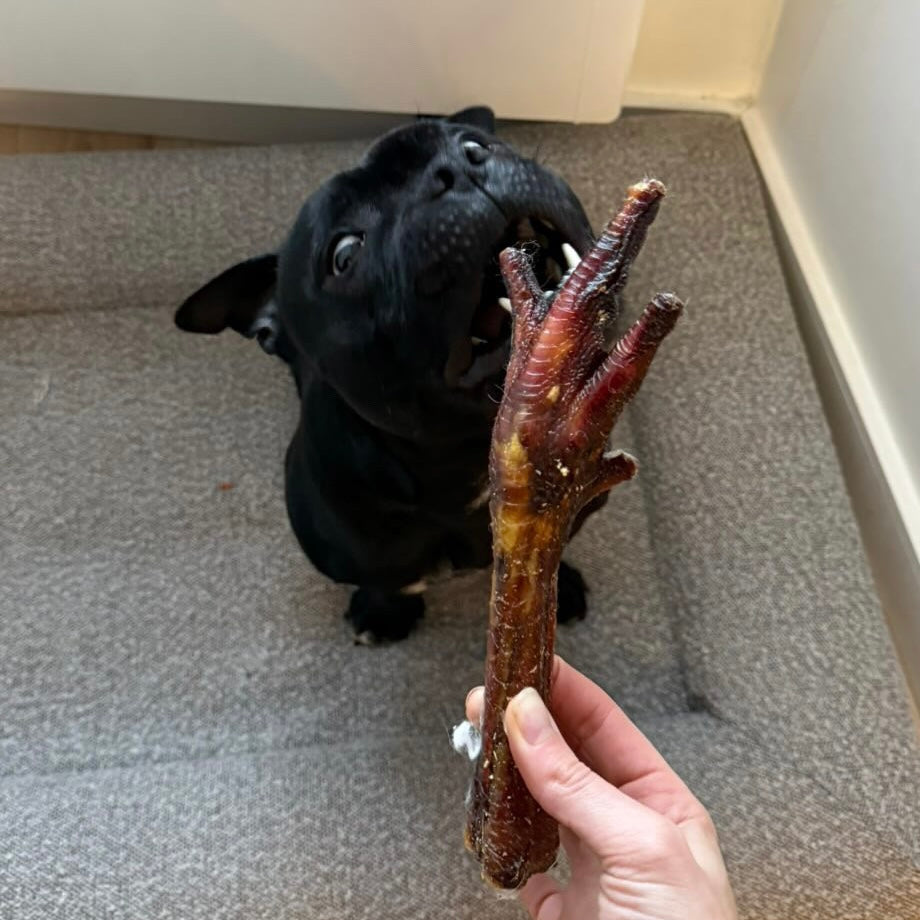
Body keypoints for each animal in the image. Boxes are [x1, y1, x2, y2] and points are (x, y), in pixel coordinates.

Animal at [176, 106, 602, 642]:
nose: (460, 167)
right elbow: (387, 580)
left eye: (474, 142)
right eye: (343, 254)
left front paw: (555, 588)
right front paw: (384, 612)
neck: (467, 453)